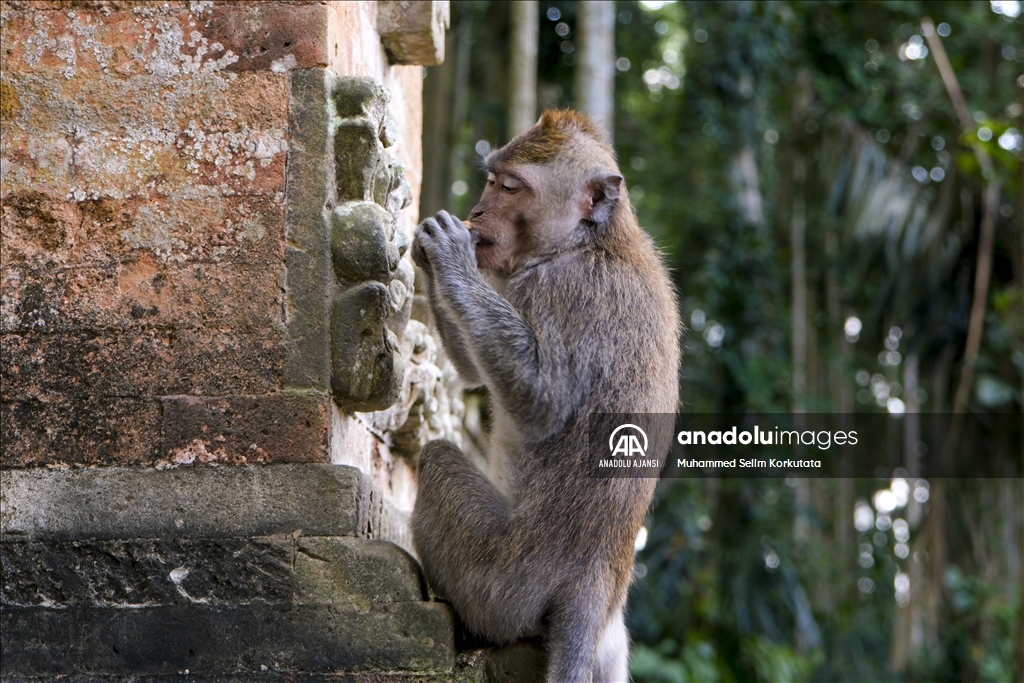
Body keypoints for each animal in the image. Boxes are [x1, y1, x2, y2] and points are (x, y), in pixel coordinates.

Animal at [407, 109, 679, 683]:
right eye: (490, 181)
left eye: (510, 187)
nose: (476, 211)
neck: (588, 241)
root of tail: (593, 580)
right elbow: (473, 373)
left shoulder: (566, 289)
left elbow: (541, 403)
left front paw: (449, 255)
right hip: (607, 646)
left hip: (498, 580)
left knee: (439, 461)